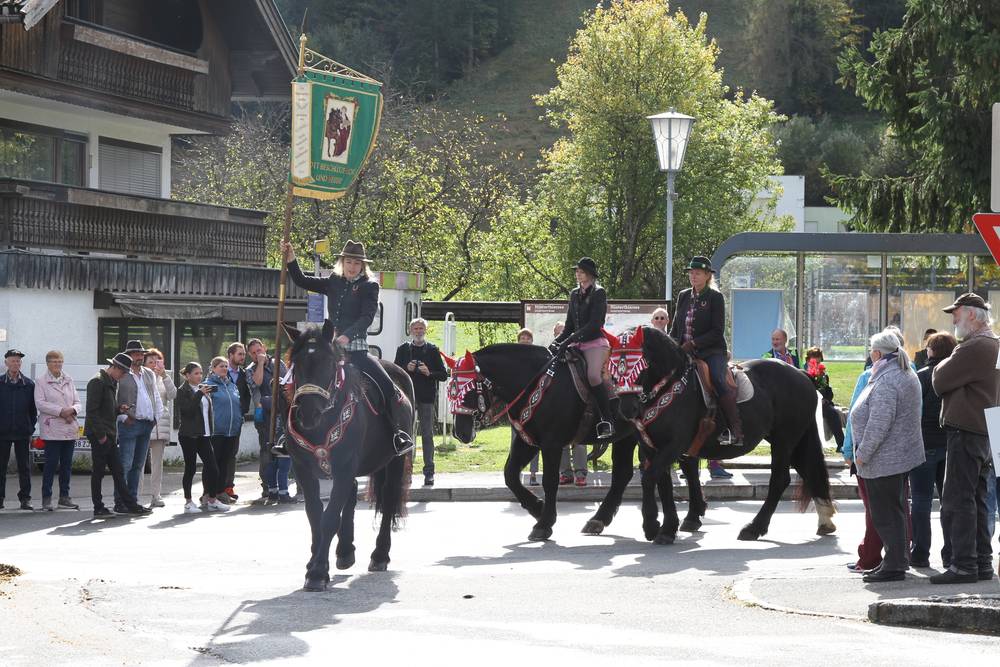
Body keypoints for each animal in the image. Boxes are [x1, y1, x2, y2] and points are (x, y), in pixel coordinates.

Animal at [283, 321, 414, 591]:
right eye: (296, 364)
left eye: (328, 363)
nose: (308, 413)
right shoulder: (303, 469)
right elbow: (314, 514)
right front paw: (314, 563)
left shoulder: (344, 467)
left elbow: (330, 516)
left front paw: (318, 572)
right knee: (352, 494)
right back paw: (345, 551)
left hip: (396, 461)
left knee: (388, 499)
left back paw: (380, 555)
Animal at [613, 326, 837, 541]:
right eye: (613, 368)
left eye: (641, 366)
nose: (627, 409)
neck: (669, 386)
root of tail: (801, 374)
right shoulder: (652, 448)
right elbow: (662, 483)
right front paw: (666, 526)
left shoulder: (673, 446)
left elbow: (649, 479)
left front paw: (655, 526)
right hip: (791, 440)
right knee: (809, 471)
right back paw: (825, 520)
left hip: (784, 440)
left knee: (780, 480)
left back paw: (754, 528)